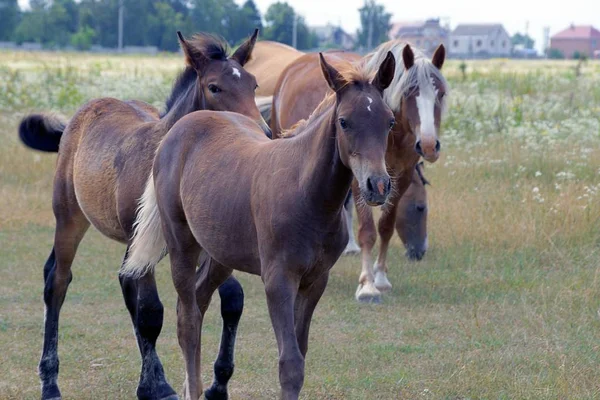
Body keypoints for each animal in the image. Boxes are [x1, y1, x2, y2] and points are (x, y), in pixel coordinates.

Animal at [18, 30, 270, 400]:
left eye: (253, 85)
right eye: (214, 87)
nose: (262, 133)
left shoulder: (199, 244)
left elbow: (231, 299)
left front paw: (217, 384)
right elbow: (152, 312)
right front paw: (160, 387)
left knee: (124, 282)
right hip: (69, 216)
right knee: (58, 281)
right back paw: (51, 382)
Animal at [119, 53, 396, 400]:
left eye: (390, 121)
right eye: (344, 121)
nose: (378, 186)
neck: (306, 193)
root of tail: (176, 132)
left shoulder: (315, 280)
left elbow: (301, 352)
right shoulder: (278, 279)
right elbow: (290, 364)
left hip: (220, 254)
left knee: (197, 300)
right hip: (181, 244)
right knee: (188, 322)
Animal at [270, 41, 448, 304]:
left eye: (441, 94)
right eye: (408, 93)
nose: (428, 145)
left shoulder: (399, 177)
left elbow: (386, 226)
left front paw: (381, 277)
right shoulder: (360, 179)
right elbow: (367, 231)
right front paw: (367, 285)